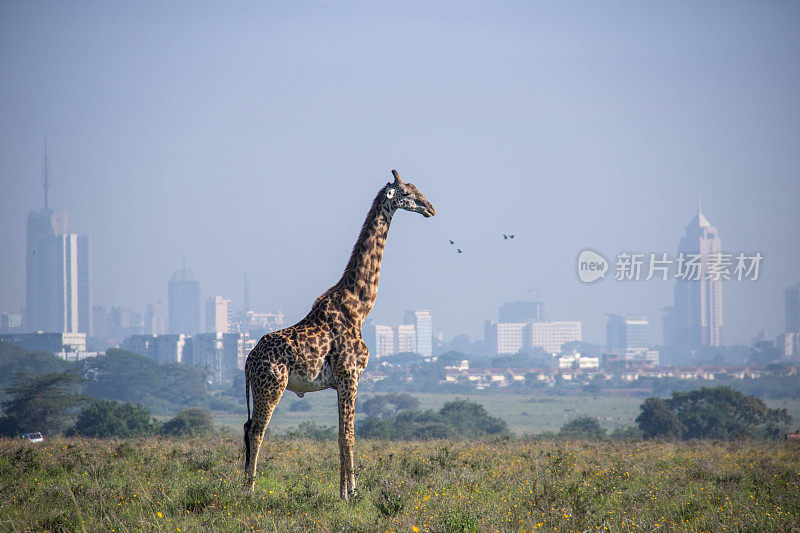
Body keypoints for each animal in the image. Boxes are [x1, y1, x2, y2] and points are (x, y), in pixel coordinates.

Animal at [242, 169, 434, 498]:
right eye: (408, 193)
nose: (430, 208)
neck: (359, 307)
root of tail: (248, 361)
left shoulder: (339, 382)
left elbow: (340, 435)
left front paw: (343, 491)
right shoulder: (350, 376)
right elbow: (349, 435)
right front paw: (351, 493)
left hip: (259, 388)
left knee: (247, 428)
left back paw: (242, 485)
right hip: (271, 386)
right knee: (257, 431)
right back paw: (250, 491)